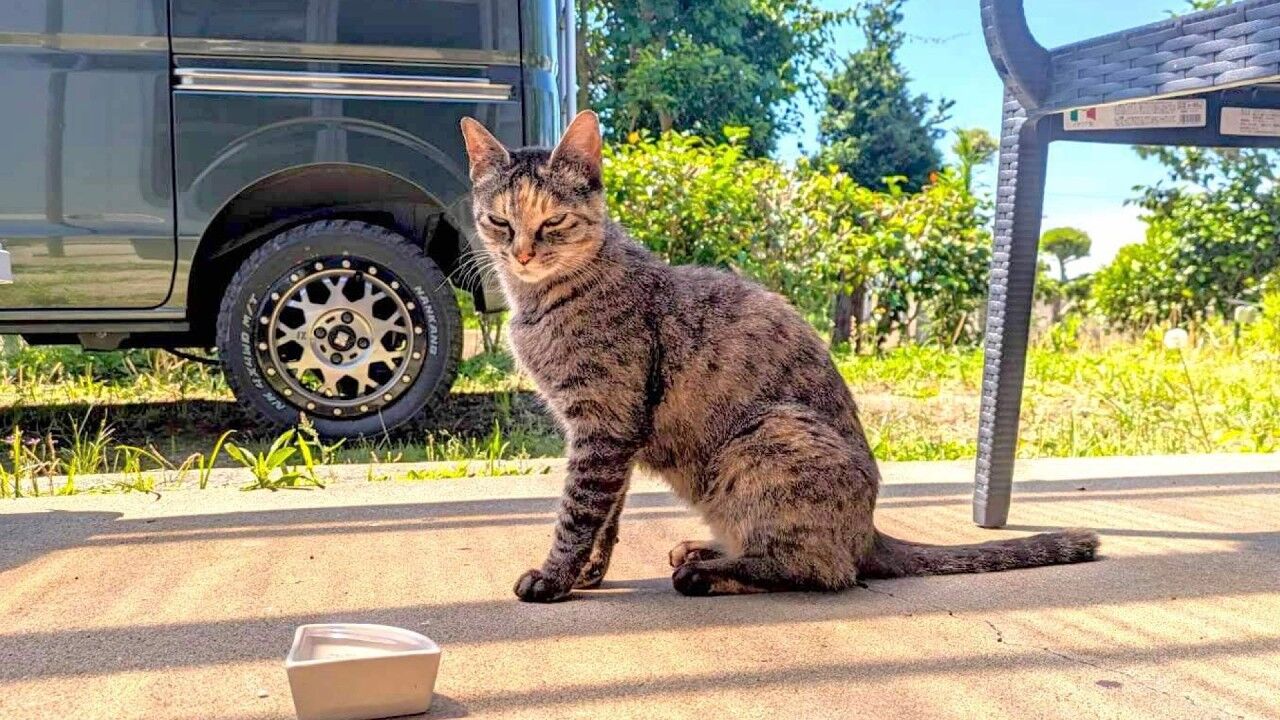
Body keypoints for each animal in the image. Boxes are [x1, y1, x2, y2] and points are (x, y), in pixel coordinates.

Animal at [460, 111, 1098, 602]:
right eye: (499, 220)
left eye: (553, 220)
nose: (520, 252)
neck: (546, 302)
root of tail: (869, 531)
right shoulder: (610, 437)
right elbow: (606, 515)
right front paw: (589, 574)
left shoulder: (605, 427)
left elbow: (578, 512)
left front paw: (554, 578)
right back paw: (704, 549)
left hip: (766, 437)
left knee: (822, 570)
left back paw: (707, 572)